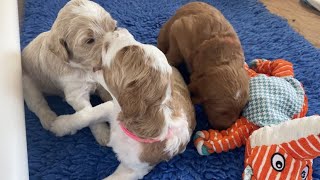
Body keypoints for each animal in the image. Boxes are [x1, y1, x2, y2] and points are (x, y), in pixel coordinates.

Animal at [22, 0, 117, 145]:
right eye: (89, 40)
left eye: (114, 28)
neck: (86, 68)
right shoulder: (77, 96)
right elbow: (90, 114)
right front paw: (103, 133)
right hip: (28, 86)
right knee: (38, 104)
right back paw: (49, 119)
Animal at [158, 1, 250, 129]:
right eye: (220, 111)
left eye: (240, 111)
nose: (224, 128)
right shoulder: (179, 28)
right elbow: (175, 54)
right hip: (166, 29)